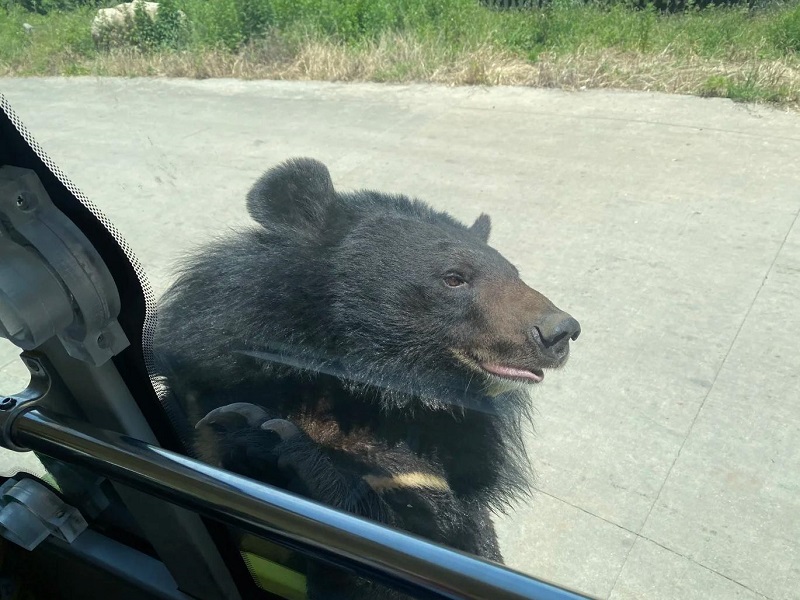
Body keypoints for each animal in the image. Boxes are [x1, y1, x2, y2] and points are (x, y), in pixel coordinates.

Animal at [154, 158, 580, 599]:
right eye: (454, 277)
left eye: (515, 274)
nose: (560, 332)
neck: (372, 386)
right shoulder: (201, 387)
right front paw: (251, 429)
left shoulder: (443, 472)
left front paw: (273, 438)